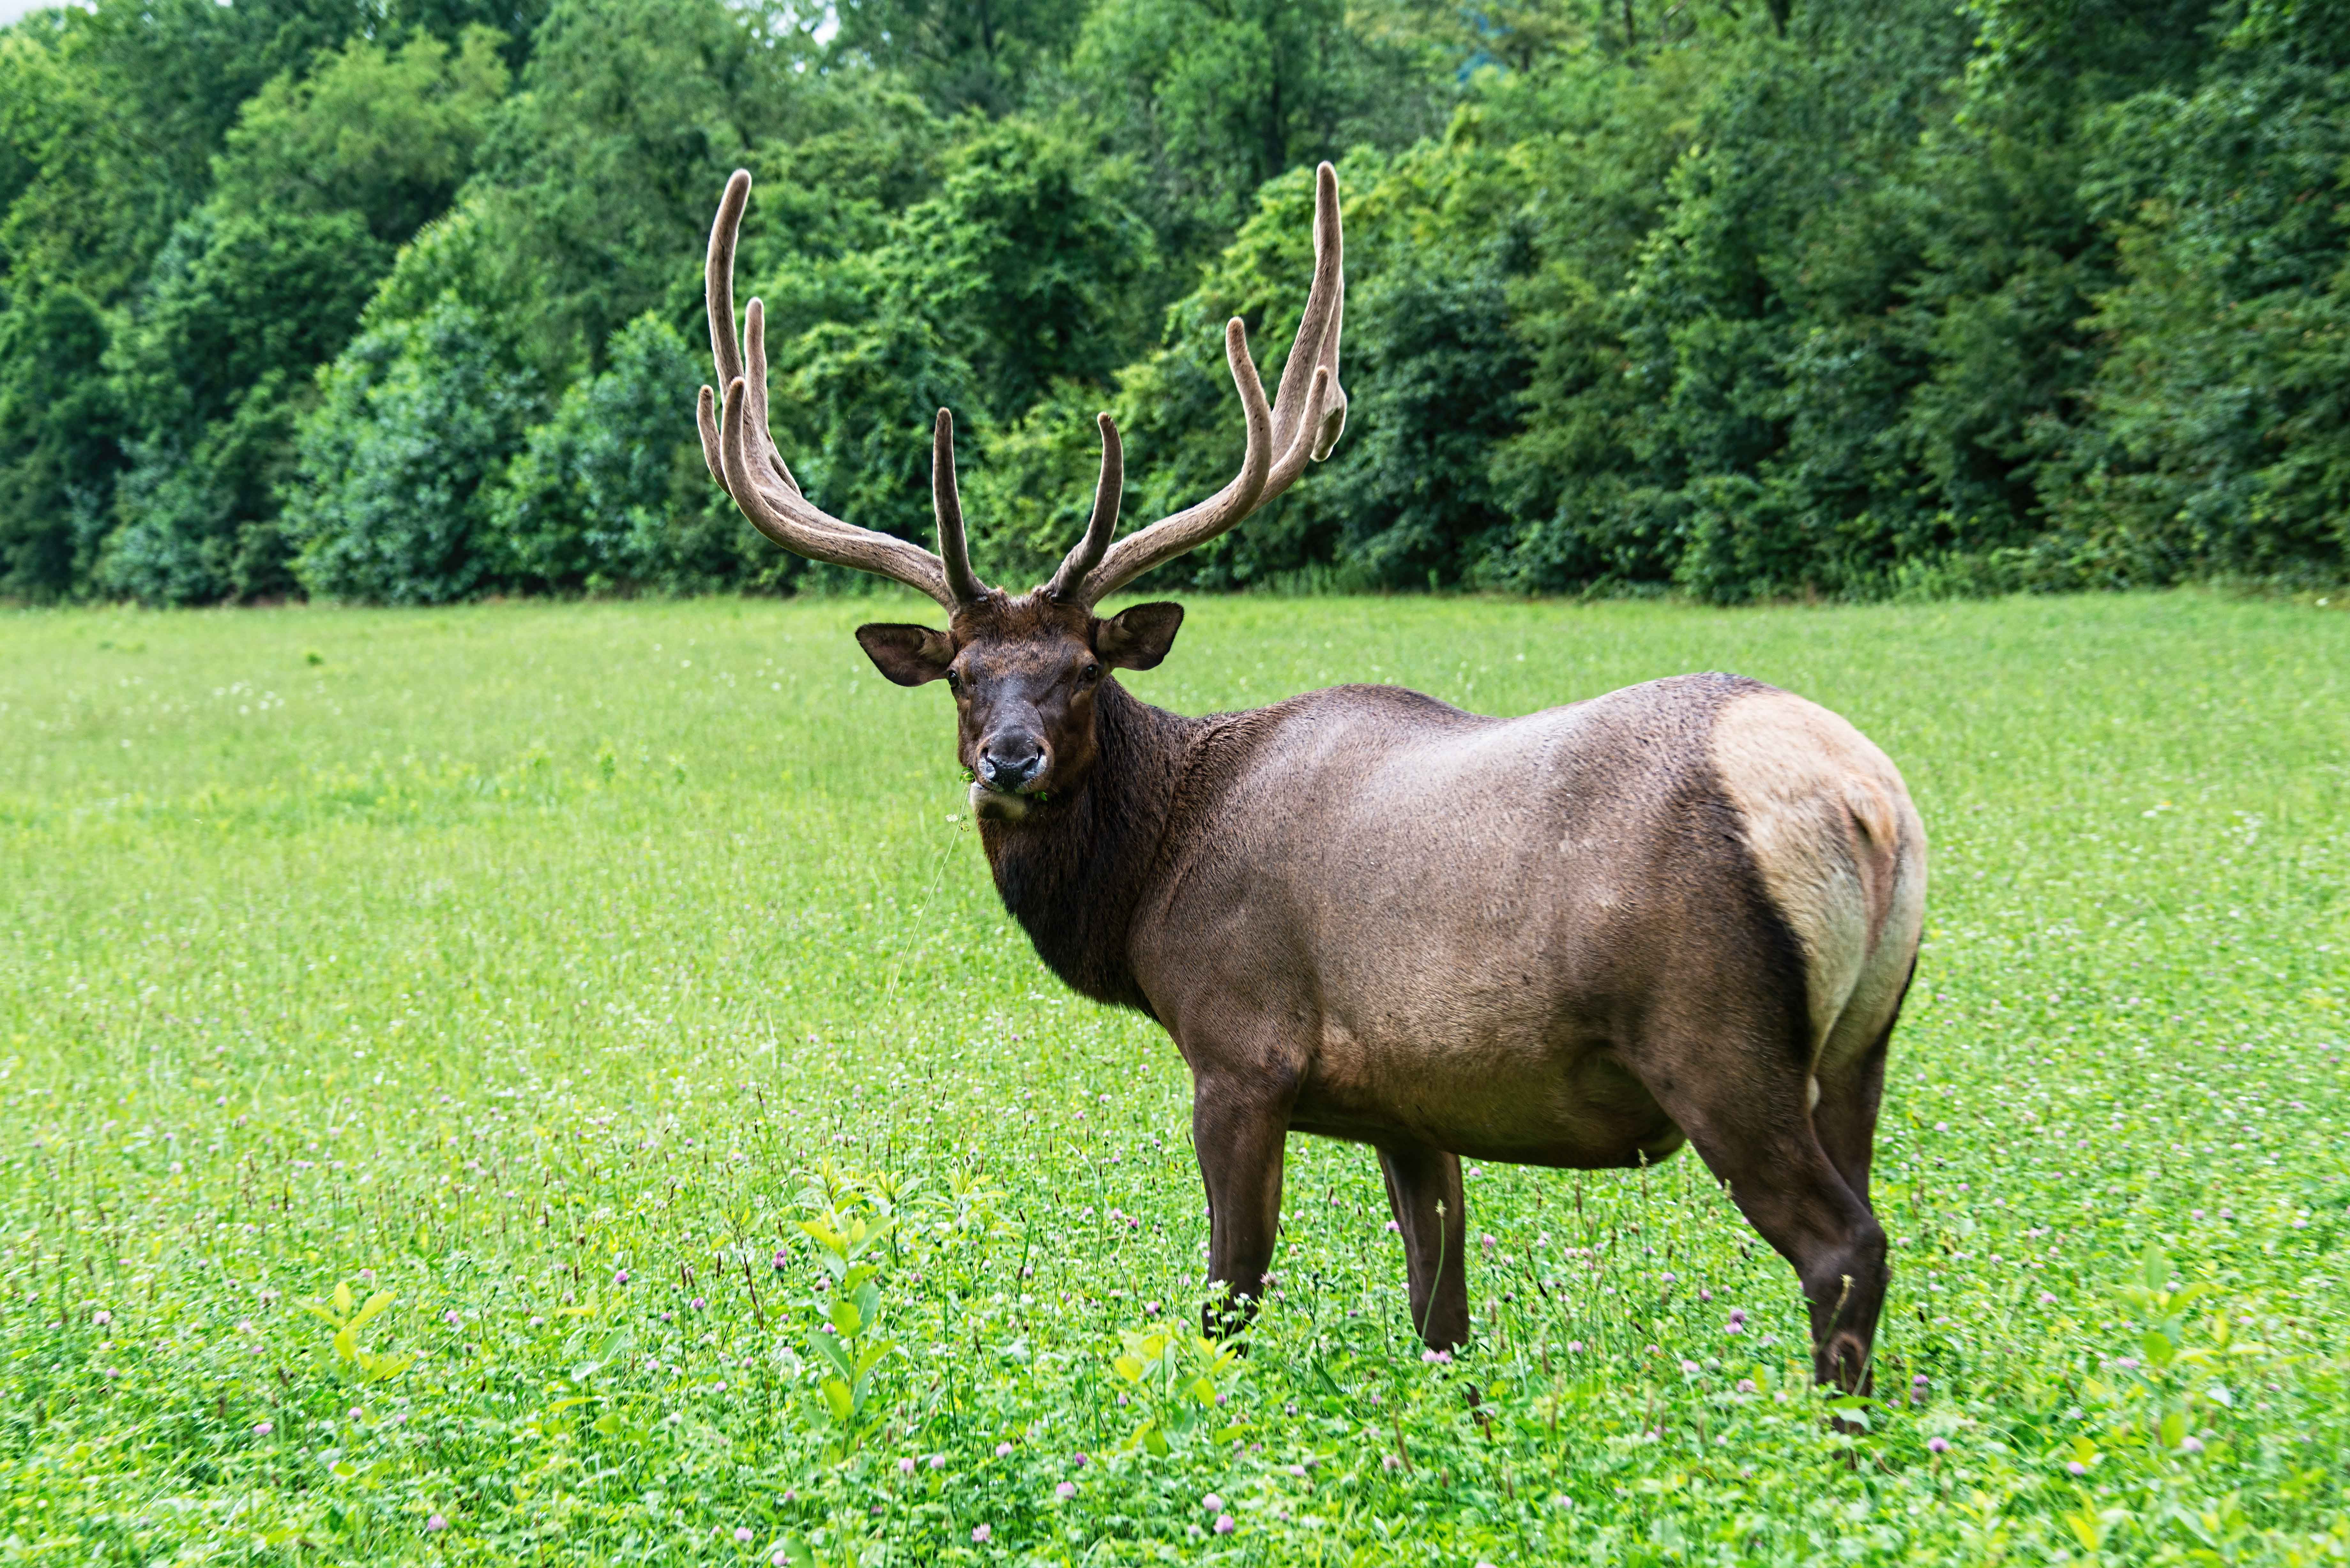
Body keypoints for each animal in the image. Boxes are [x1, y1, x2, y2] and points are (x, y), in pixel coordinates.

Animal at [694, 164, 1927, 1392]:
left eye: (1084, 668)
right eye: (961, 674)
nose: (1009, 758)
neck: (1147, 894)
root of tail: (1870, 803)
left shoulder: (1241, 1048)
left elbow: (1227, 1296)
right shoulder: (1411, 1098)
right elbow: (1442, 1313)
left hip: (1715, 1037)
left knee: (1844, 1244)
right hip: (1861, 1041)